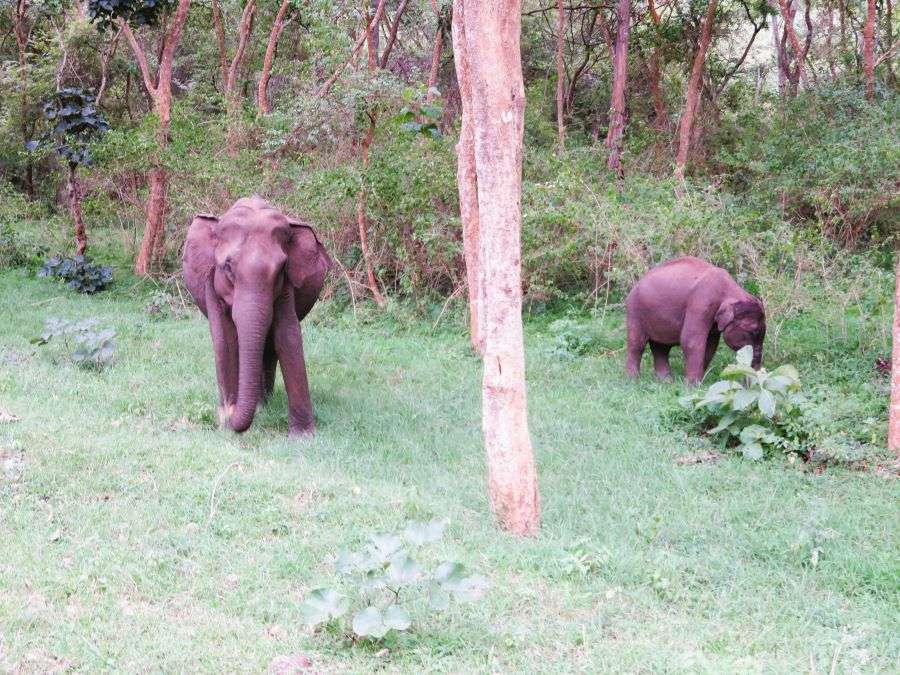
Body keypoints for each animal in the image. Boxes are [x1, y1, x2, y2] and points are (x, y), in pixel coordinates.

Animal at [181, 198, 332, 436]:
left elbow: (287, 336)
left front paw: (303, 436)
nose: (228, 409)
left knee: (269, 349)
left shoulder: (286, 287)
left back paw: (264, 403)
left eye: (281, 269)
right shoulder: (210, 285)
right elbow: (225, 340)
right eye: (228, 266)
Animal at [624, 256, 768, 386]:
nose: (750, 383)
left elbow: (711, 345)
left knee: (661, 347)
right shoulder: (700, 304)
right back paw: (633, 380)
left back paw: (666, 381)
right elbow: (690, 340)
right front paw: (693, 386)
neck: (730, 290)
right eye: (752, 332)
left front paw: (699, 382)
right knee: (637, 344)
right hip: (634, 311)